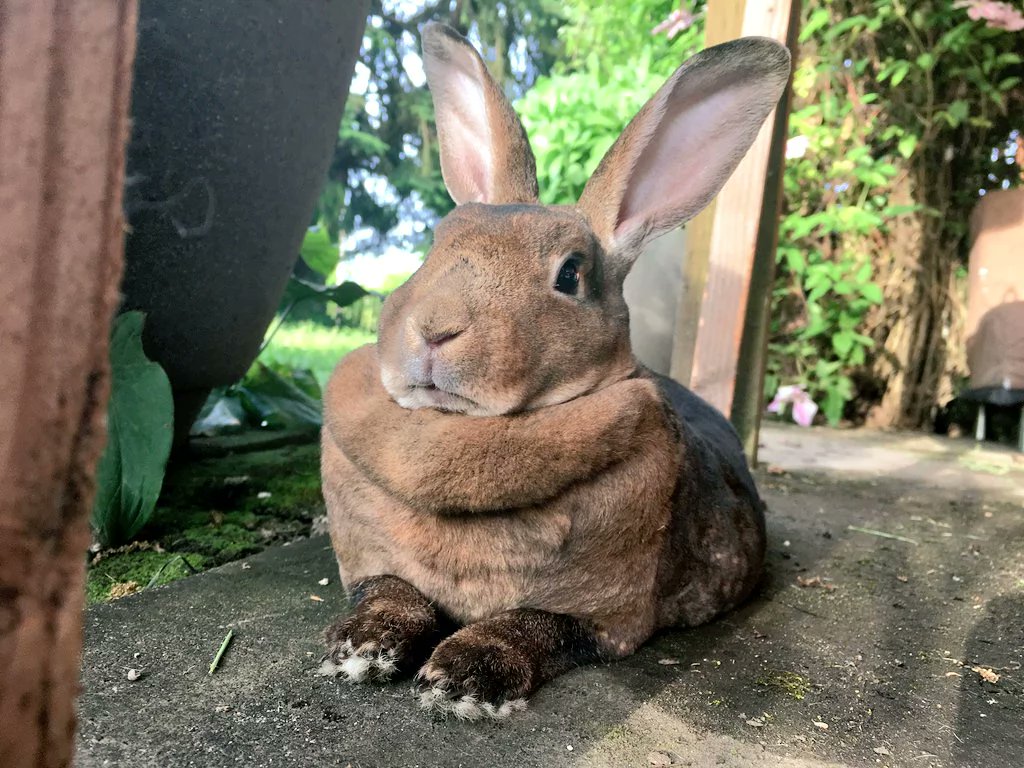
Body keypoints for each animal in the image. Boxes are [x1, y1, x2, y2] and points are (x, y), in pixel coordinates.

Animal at [319, 21, 791, 720]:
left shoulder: (607, 609)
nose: (433, 328)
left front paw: (462, 678)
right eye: (437, 242)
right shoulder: (373, 559)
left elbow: (534, 624)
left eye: (570, 274)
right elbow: (387, 589)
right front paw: (358, 648)